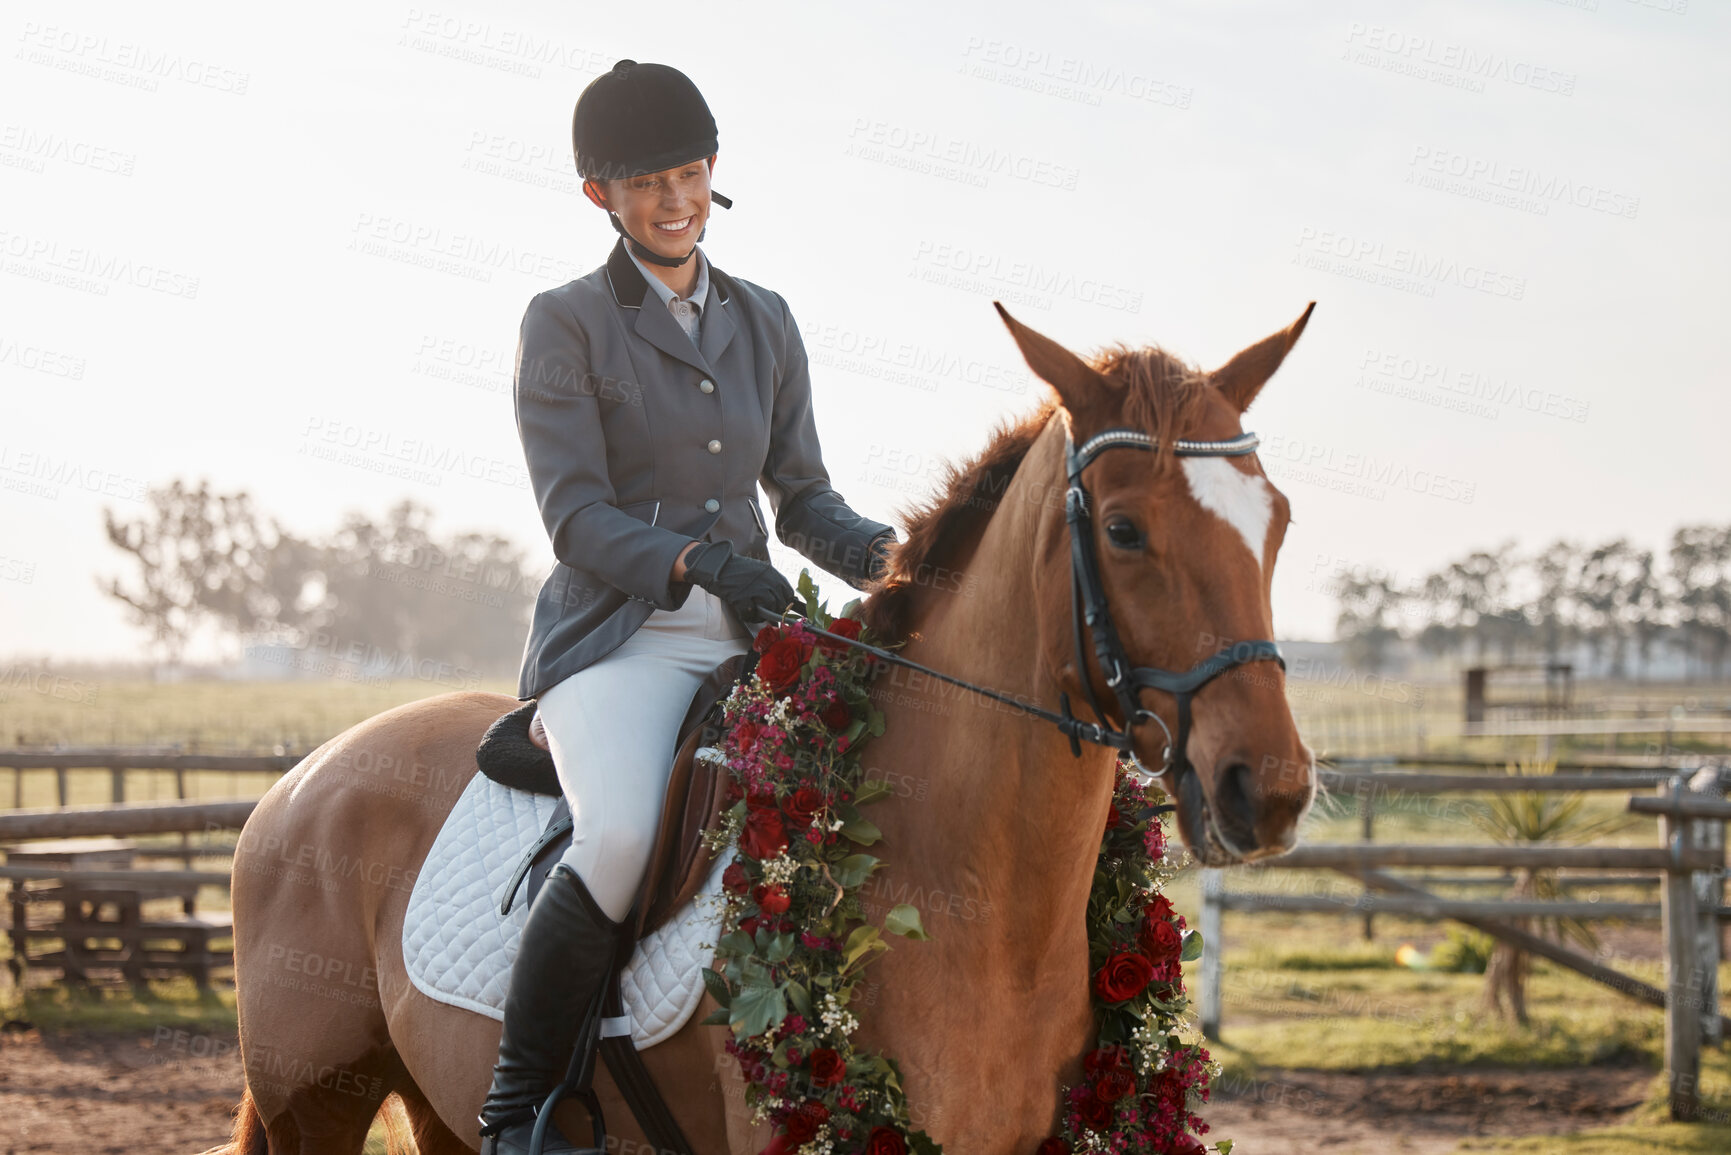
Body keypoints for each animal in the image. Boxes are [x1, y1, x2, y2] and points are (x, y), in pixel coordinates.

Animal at [223, 301, 1315, 1155]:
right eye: (1124, 530)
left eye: (1280, 521)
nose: (1269, 789)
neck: (977, 898)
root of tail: (299, 782)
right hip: (314, 1101)